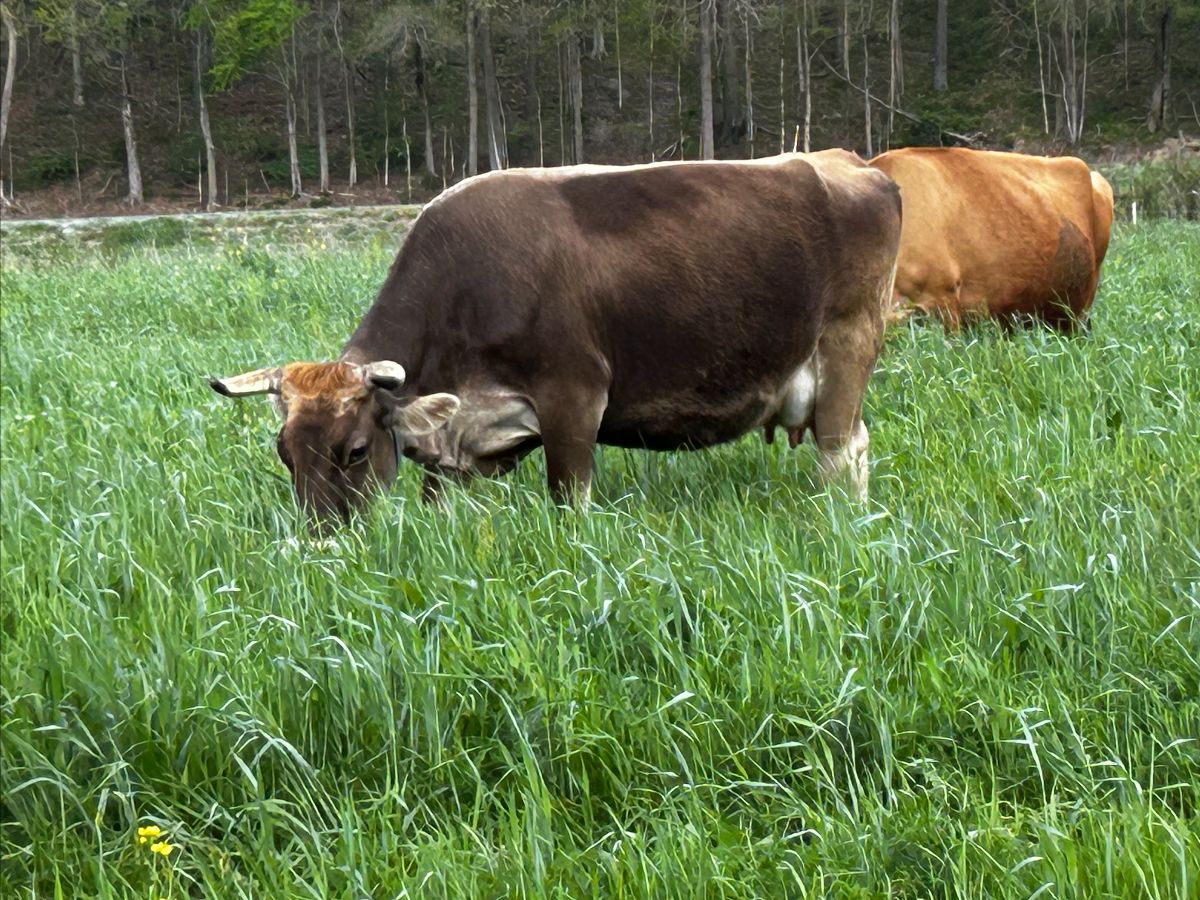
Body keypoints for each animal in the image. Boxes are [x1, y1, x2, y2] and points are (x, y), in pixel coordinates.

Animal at [210, 151, 902, 521]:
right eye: (284, 452)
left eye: (355, 451)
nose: (323, 542)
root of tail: (846, 162)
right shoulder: (465, 447)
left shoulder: (574, 398)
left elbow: (569, 502)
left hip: (845, 352)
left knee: (841, 453)